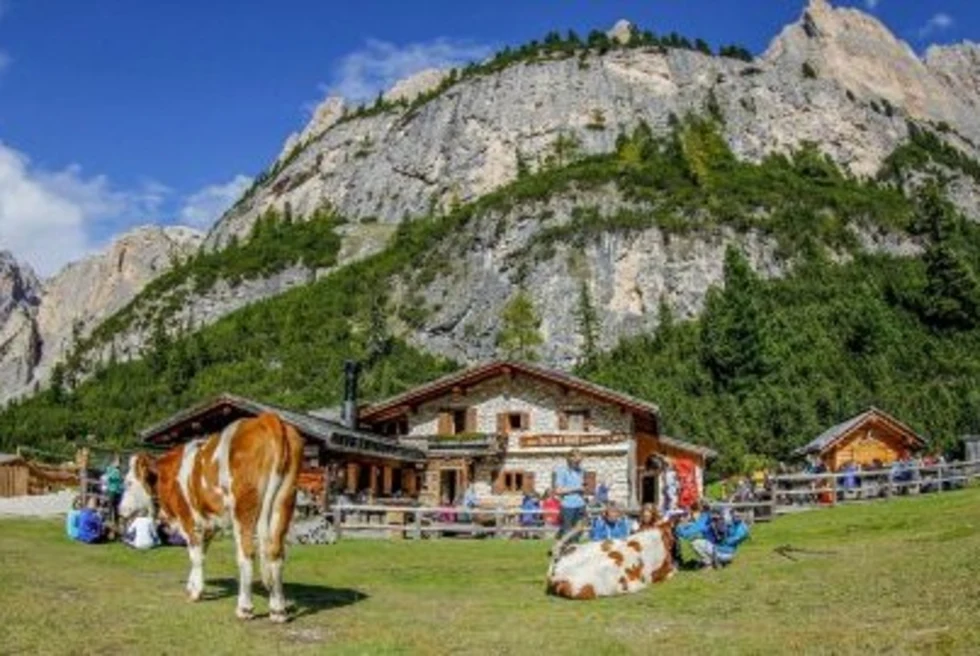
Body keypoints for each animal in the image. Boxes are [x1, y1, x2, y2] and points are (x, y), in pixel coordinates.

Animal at [118, 412, 302, 624]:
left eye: (128, 483)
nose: (120, 510)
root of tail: (266, 418)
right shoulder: (207, 524)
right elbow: (200, 555)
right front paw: (192, 585)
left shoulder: (190, 521)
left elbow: (195, 556)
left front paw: (195, 592)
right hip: (284, 503)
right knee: (276, 555)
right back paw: (278, 610)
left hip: (244, 510)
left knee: (246, 554)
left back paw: (245, 608)